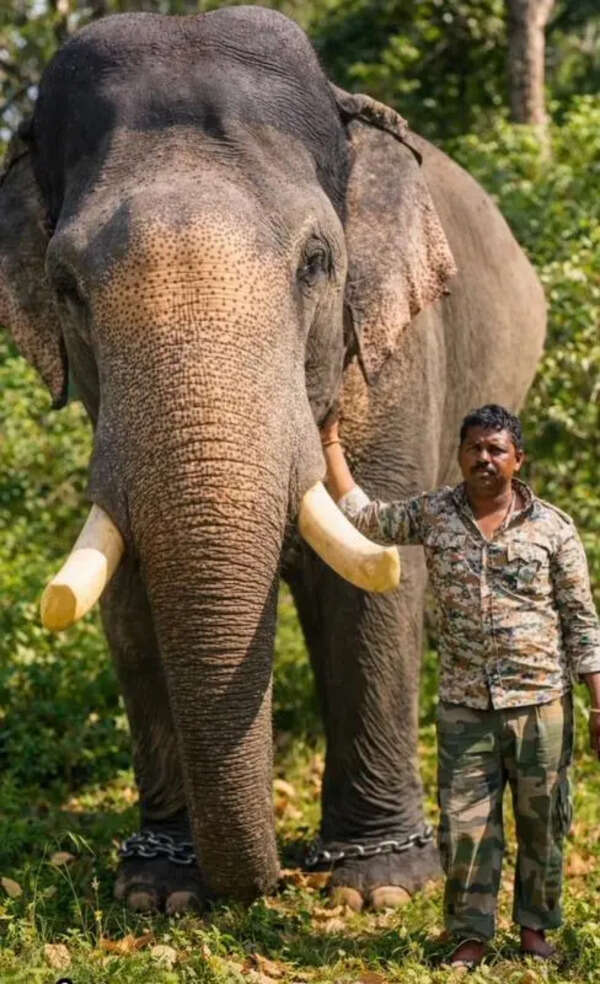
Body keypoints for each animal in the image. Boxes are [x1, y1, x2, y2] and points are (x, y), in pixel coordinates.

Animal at [0, 5, 546, 914]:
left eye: (317, 263)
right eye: (66, 285)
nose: (268, 887)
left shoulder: (396, 361)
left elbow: (374, 588)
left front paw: (378, 889)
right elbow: (131, 596)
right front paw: (157, 889)